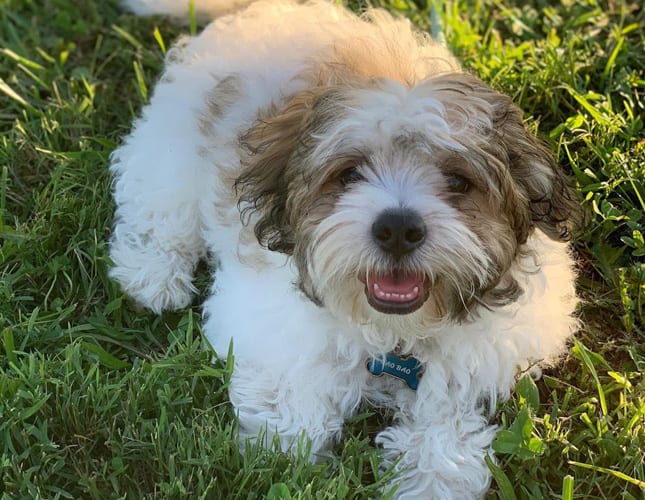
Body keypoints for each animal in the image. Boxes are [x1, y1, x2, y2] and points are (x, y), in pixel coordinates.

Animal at [110, 1, 580, 498]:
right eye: (349, 174)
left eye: (457, 181)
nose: (398, 228)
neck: (395, 335)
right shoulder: (268, 319)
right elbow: (288, 388)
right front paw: (287, 455)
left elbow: (446, 413)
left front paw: (432, 478)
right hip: (174, 142)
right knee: (158, 202)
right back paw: (152, 274)